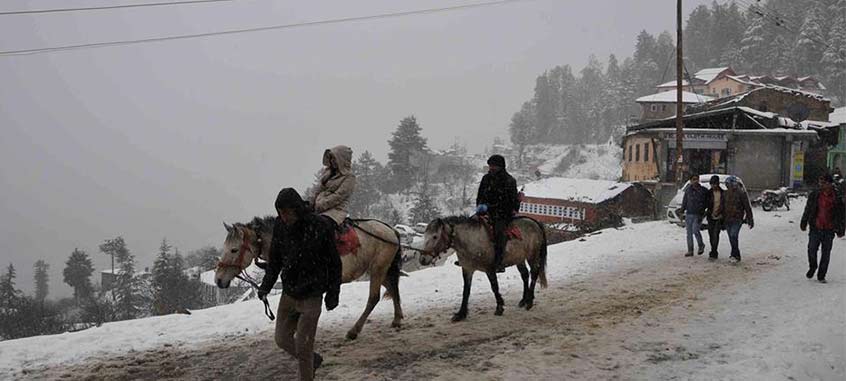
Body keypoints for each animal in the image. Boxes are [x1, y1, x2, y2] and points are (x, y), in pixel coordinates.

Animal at [217, 215, 406, 340]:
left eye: (234, 250)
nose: (218, 279)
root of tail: (390, 230)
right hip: (381, 269)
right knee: (392, 288)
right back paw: (397, 319)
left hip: (378, 268)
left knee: (374, 297)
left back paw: (354, 330)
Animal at [420, 217, 548, 320]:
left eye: (435, 236)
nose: (422, 259)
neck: (471, 241)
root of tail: (534, 222)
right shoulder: (467, 269)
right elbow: (466, 291)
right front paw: (461, 314)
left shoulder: (489, 269)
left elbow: (494, 287)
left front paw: (499, 307)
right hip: (519, 259)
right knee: (525, 275)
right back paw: (524, 300)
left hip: (533, 256)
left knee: (534, 274)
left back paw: (529, 301)